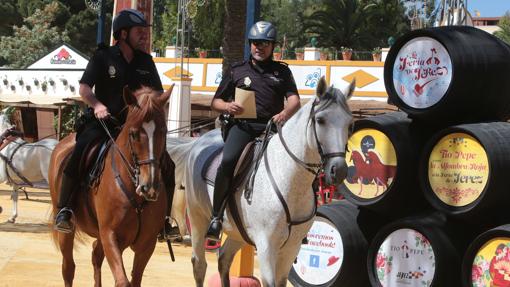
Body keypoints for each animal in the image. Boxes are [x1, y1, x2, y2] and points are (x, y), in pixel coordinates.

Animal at [50, 86, 173, 287]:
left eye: (163, 131)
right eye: (133, 133)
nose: (149, 187)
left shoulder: (146, 245)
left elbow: (135, 280)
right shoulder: (110, 236)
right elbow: (123, 282)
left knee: (95, 255)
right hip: (66, 231)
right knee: (68, 268)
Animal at [169, 77, 352, 287]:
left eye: (349, 123)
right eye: (320, 120)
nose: (339, 170)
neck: (290, 180)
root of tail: (198, 142)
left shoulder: (292, 247)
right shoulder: (266, 246)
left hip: (239, 232)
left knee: (224, 258)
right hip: (198, 219)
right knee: (199, 264)